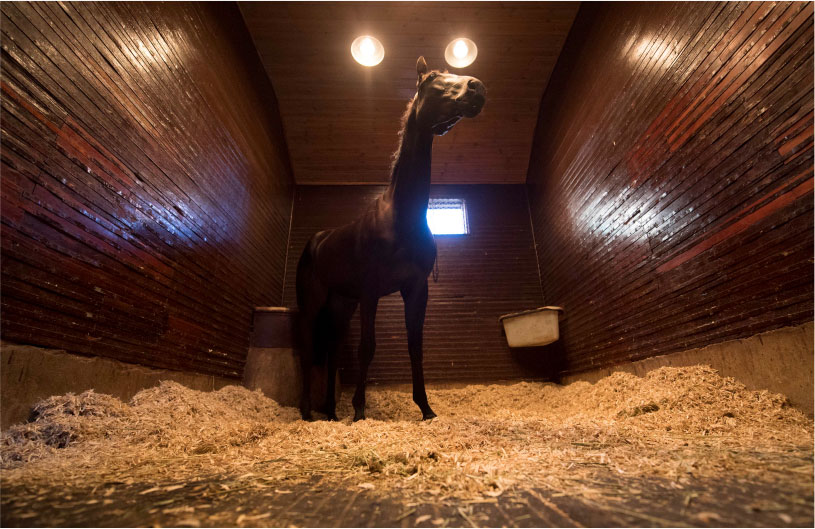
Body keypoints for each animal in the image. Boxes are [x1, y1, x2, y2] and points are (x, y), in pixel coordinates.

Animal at [294, 56, 484, 420]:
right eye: (432, 78)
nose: (476, 87)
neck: (401, 217)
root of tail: (317, 241)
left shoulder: (416, 288)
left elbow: (415, 346)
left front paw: (426, 408)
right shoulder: (371, 290)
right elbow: (367, 348)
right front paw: (359, 411)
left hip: (342, 305)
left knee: (333, 352)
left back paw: (331, 412)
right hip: (314, 302)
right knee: (310, 347)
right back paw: (309, 412)